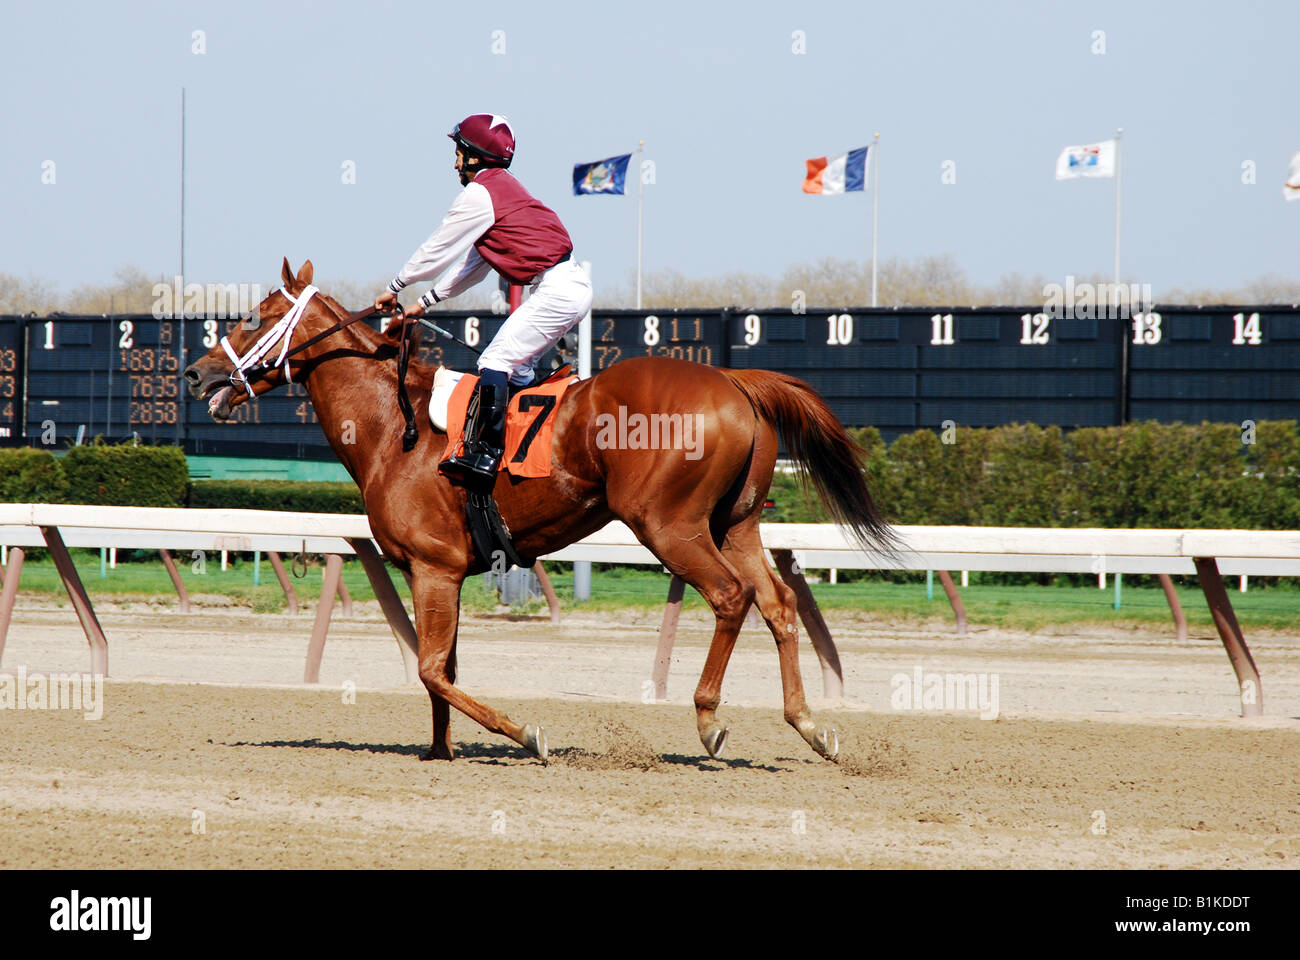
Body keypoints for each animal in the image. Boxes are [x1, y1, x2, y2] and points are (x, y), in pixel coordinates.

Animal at [185, 256, 894, 764]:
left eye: (253, 316)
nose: (196, 375)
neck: (393, 428)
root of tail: (734, 381)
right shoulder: (436, 572)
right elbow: (440, 668)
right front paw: (439, 750)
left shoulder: (434, 566)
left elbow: (430, 669)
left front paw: (525, 732)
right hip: (735, 523)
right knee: (777, 602)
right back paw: (808, 725)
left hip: (670, 526)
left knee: (729, 597)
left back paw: (709, 718)